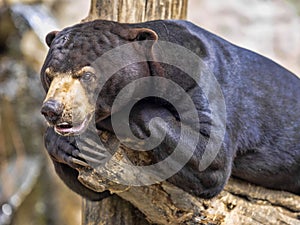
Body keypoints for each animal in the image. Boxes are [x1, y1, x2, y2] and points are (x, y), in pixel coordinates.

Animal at [40, 19, 300, 200]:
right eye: (49, 75)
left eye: (87, 75)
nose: (52, 110)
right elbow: (96, 191)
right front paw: (66, 145)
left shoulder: (203, 81)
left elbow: (210, 157)